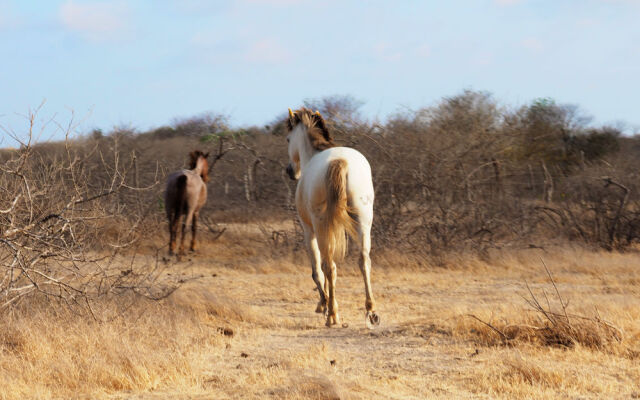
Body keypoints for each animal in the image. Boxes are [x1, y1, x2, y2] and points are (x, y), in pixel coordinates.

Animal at [284, 107, 380, 328]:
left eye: (288, 138)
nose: (290, 171)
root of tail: (340, 161)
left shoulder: (309, 230)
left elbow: (317, 270)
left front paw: (324, 304)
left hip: (320, 225)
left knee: (328, 267)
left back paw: (332, 316)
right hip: (363, 222)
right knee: (364, 261)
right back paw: (371, 311)